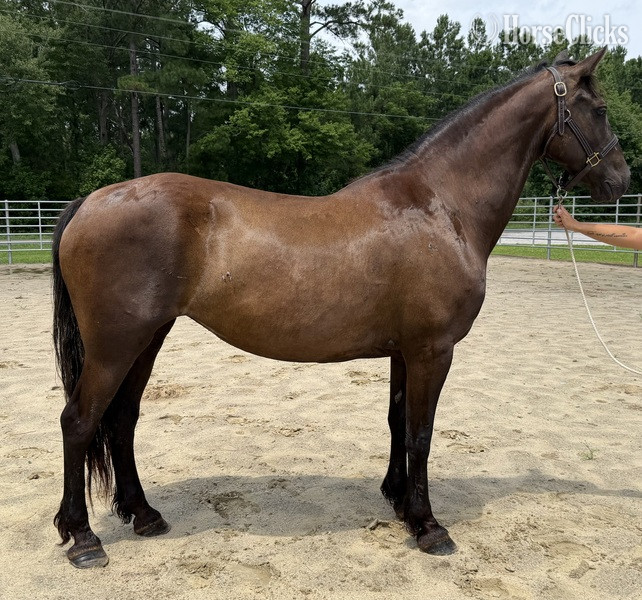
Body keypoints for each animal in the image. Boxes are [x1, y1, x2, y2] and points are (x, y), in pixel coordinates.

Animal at [51, 48, 629, 568]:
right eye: (599, 110)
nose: (621, 181)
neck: (440, 206)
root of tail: (91, 200)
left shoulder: (404, 351)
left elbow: (398, 422)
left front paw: (399, 502)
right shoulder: (433, 350)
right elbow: (421, 434)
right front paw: (429, 526)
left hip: (147, 338)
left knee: (122, 419)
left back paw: (144, 515)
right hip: (115, 345)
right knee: (79, 422)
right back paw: (83, 539)